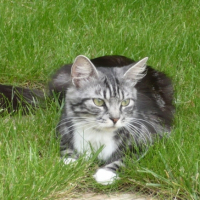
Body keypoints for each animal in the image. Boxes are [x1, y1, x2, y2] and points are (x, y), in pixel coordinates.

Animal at [0, 54, 173, 184]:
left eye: (125, 102)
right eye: (98, 102)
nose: (115, 118)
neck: (97, 134)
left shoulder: (152, 134)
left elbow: (127, 157)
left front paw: (106, 173)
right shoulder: (63, 127)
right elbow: (66, 147)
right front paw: (70, 162)